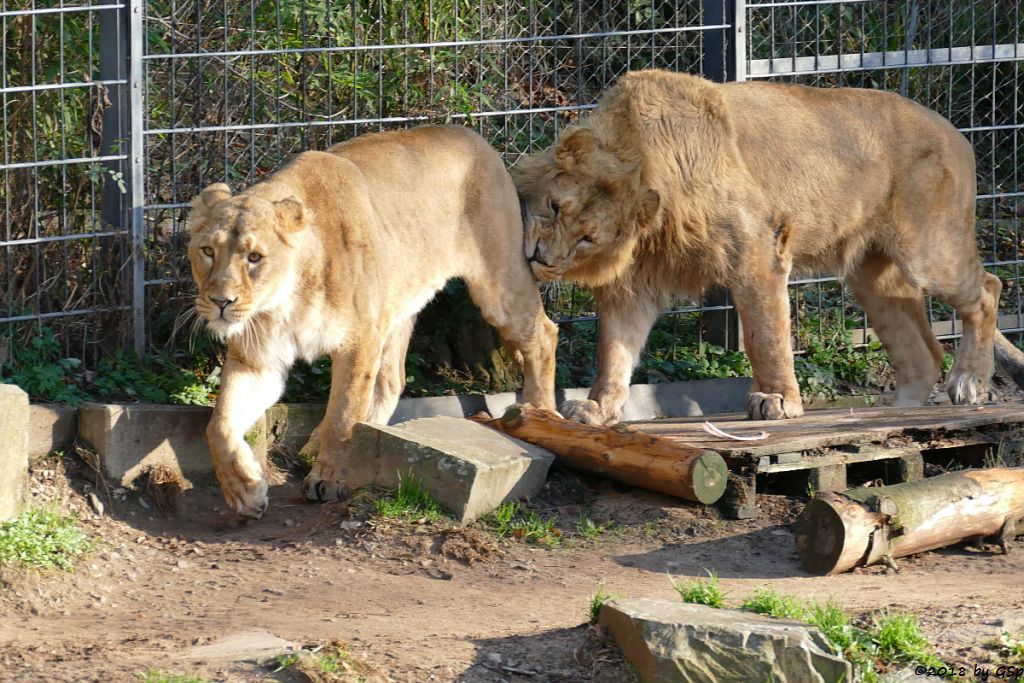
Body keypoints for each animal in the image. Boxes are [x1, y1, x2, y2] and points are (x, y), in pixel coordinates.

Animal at [192, 125, 561, 518]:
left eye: (255, 257)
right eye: (208, 251)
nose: (221, 302)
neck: (283, 301)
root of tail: (473, 136)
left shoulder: (358, 340)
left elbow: (342, 415)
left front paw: (327, 479)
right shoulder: (258, 360)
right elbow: (218, 425)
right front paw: (244, 491)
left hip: (499, 282)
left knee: (543, 334)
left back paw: (539, 416)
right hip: (396, 304)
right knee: (393, 380)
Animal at [516, 69, 1019, 421]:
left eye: (587, 238)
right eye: (555, 208)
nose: (540, 259)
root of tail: (958, 134)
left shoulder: (756, 246)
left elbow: (765, 334)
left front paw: (777, 399)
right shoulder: (635, 282)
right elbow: (614, 349)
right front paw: (598, 407)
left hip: (928, 250)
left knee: (988, 289)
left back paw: (969, 383)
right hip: (872, 274)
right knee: (922, 350)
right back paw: (901, 410)